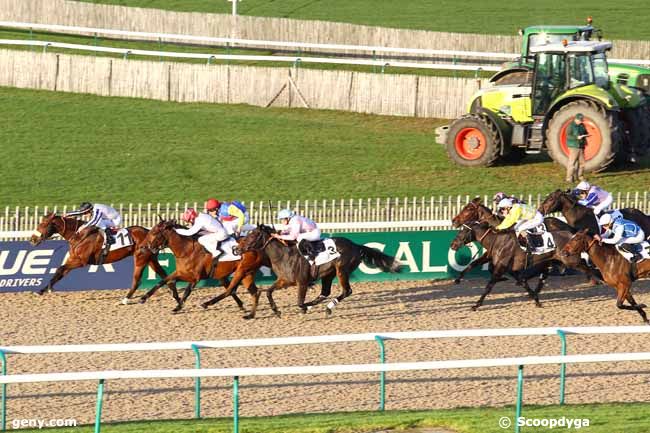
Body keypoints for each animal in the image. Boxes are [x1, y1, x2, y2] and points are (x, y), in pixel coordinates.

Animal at [30, 212, 173, 298]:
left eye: (43, 224)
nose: (32, 239)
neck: (79, 235)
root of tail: (149, 232)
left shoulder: (81, 261)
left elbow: (60, 269)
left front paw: (47, 288)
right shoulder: (73, 259)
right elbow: (60, 272)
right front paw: (42, 289)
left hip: (141, 257)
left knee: (139, 279)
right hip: (150, 258)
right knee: (163, 274)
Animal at [238, 226, 400, 318]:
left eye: (252, 235)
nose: (237, 249)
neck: (283, 255)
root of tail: (356, 246)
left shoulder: (302, 282)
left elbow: (299, 302)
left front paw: (302, 307)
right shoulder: (285, 280)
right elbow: (268, 292)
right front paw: (276, 311)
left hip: (341, 270)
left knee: (346, 291)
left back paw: (327, 308)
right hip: (329, 274)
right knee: (325, 292)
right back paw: (313, 306)